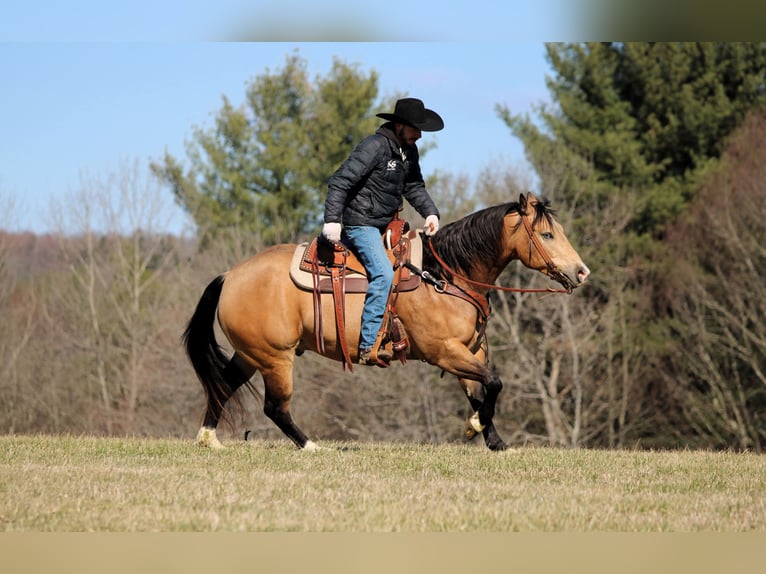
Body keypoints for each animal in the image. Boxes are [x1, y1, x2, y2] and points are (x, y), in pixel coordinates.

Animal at [183, 192, 590, 451]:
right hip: (275, 358)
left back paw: (209, 439)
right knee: (274, 407)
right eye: (547, 233)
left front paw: (495, 442)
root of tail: (230, 276)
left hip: (250, 355)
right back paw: (311, 446)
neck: (443, 275)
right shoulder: (445, 352)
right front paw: (475, 428)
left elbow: (482, 391)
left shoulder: (468, 352)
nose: (581, 271)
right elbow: (494, 383)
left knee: (222, 386)